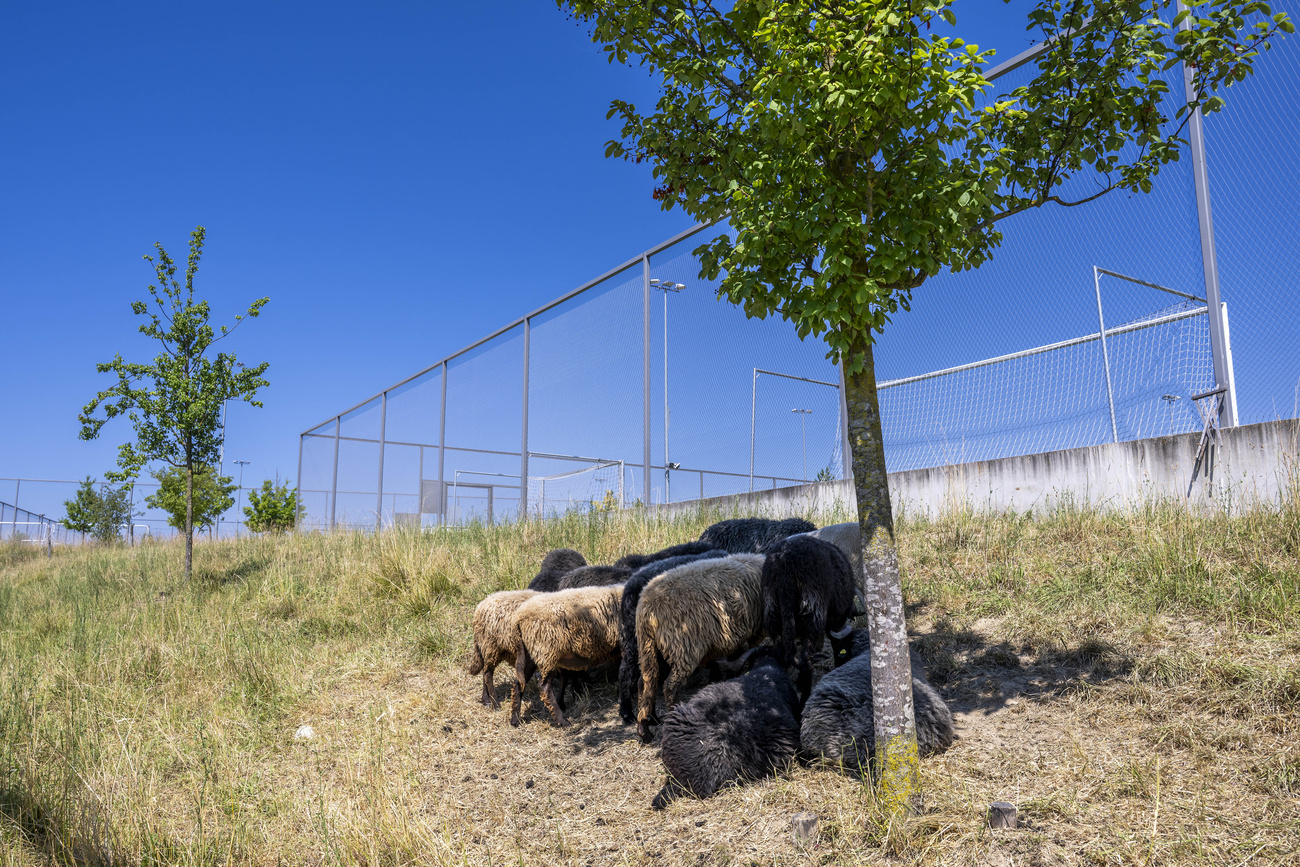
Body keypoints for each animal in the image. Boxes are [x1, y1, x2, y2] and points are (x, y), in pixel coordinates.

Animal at [509, 583, 624, 728]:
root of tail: (519, 618)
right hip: (546, 652)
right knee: (544, 686)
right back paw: (562, 720)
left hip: (530, 654)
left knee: (518, 683)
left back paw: (515, 719)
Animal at [634, 553, 766, 743]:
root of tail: (646, 607)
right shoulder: (756, 629)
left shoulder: (737, 633)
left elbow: (735, 658)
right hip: (683, 648)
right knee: (670, 687)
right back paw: (673, 716)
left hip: (649, 647)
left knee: (645, 682)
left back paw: (645, 727)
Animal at [760, 534, 858, 702]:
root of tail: (784, 561)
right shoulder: (834, 621)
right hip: (812, 611)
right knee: (806, 659)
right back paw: (805, 696)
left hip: (772, 612)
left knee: (780, 653)